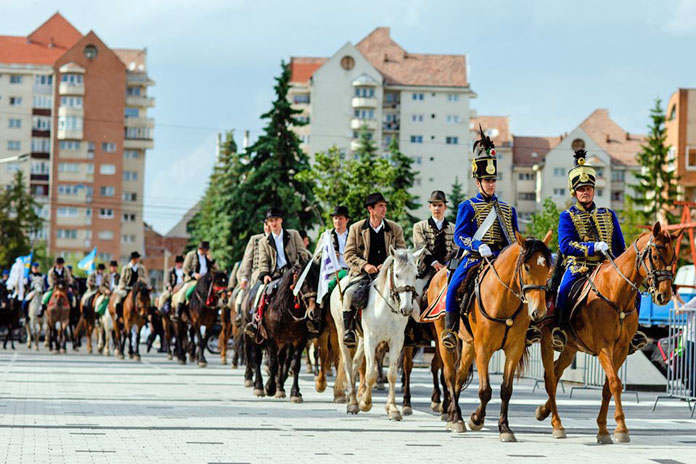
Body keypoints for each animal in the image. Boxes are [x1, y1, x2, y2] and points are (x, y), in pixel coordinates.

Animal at [250, 260, 320, 402]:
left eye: (318, 281)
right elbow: (272, 364)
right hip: (256, 338)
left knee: (282, 360)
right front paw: (270, 388)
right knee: (257, 358)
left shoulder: (299, 341)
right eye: (304, 282)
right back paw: (259, 386)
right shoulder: (271, 339)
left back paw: (280, 387)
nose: (314, 312)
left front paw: (295, 393)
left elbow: (294, 365)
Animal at [332, 248, 424, 422]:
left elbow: (392, 374)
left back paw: (353, 401)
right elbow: (370, 374)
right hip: (343, 333)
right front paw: (365, 403)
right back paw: (353, 403)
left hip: (362, 339)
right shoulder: (371, 340)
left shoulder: (396, 341)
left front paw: (393, 409)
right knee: (348, 363)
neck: (386, 308)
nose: (407, 309)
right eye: (397, 275)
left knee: (355, 364)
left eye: (416, 275)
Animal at [430, 234, 556, 440]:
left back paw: (455, 416)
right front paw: (476, 419)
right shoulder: (483, 349)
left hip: (468, 345)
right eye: (527, 267)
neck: (503, 297)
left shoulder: (514, 349)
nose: (539, 312)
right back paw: (456, 418)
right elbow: (485, 390)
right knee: (449, 375)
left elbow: (506, 390)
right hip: (445, 341)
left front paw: (504, 428)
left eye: (547, 268)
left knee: (459, 376)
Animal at [536, 223, 676, 444]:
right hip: (547, 340)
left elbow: (607, 386)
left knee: (557, 373)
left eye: (674, 257)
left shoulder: (621, 349)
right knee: (550, 377)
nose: (664, 296)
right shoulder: (603, 347)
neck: (616, 293)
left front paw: (603, 429)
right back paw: (557, 425)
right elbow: (615, 383)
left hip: (570, 347)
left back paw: (544, 411)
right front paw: (621, 428)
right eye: (655, 255)